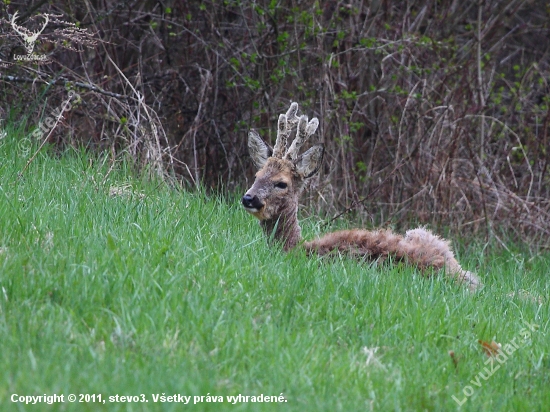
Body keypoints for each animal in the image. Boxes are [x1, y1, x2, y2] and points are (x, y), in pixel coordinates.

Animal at [243, 102, 484, 292]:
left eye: (281, 183)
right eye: (257, 175)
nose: (248, 198)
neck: (298, 250)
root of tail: (462, 277)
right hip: (420, 233)